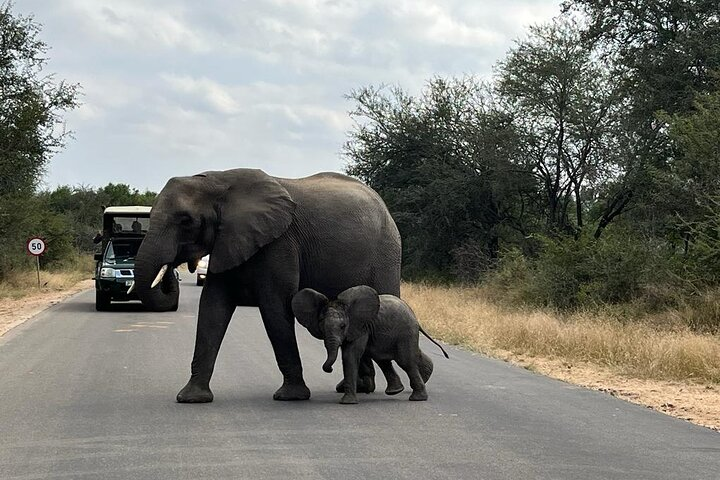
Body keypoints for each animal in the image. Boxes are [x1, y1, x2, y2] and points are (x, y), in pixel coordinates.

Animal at [134, 169, 402, 402]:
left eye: (185, 220)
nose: (174, 267)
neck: (218, 183)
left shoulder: (279, 243)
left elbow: (276, 307)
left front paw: (291, 397)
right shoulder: (229, 240)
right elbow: (212, 306)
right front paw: (191, 398)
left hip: (386, 253)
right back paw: (359, 387)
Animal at [292, 286, 448, 404]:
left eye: (343, 326)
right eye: (322, 327)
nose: (328, 369)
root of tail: (414, 316)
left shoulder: (361, 327)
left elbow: (350, 355)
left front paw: (347, 402)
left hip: (405, 332)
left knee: (405, 361)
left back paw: (417, 398)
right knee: (384, 359)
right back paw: (400, 389)